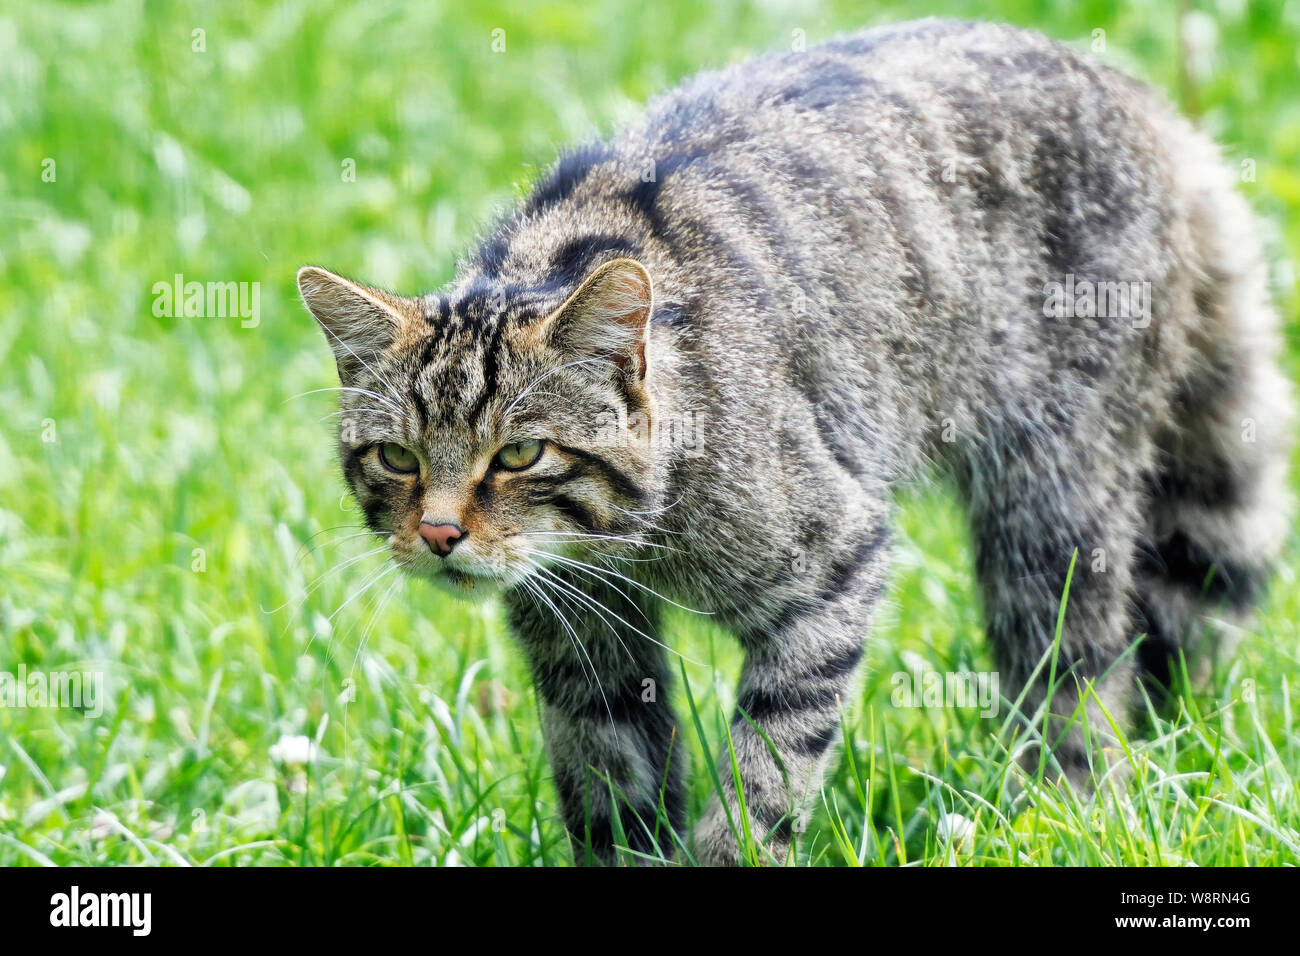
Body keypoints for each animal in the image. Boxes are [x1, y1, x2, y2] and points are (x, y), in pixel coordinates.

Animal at [297, 18, 1289, 868]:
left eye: (518, 455)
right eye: (397, 458)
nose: (437, 534)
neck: (625, 543)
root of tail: (1141, 98)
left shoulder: (833, 570)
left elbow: (768, 769)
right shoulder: (582, 648)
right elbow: (612, 785)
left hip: (1050, 504)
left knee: (1078, 675)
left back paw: (1055, 808)